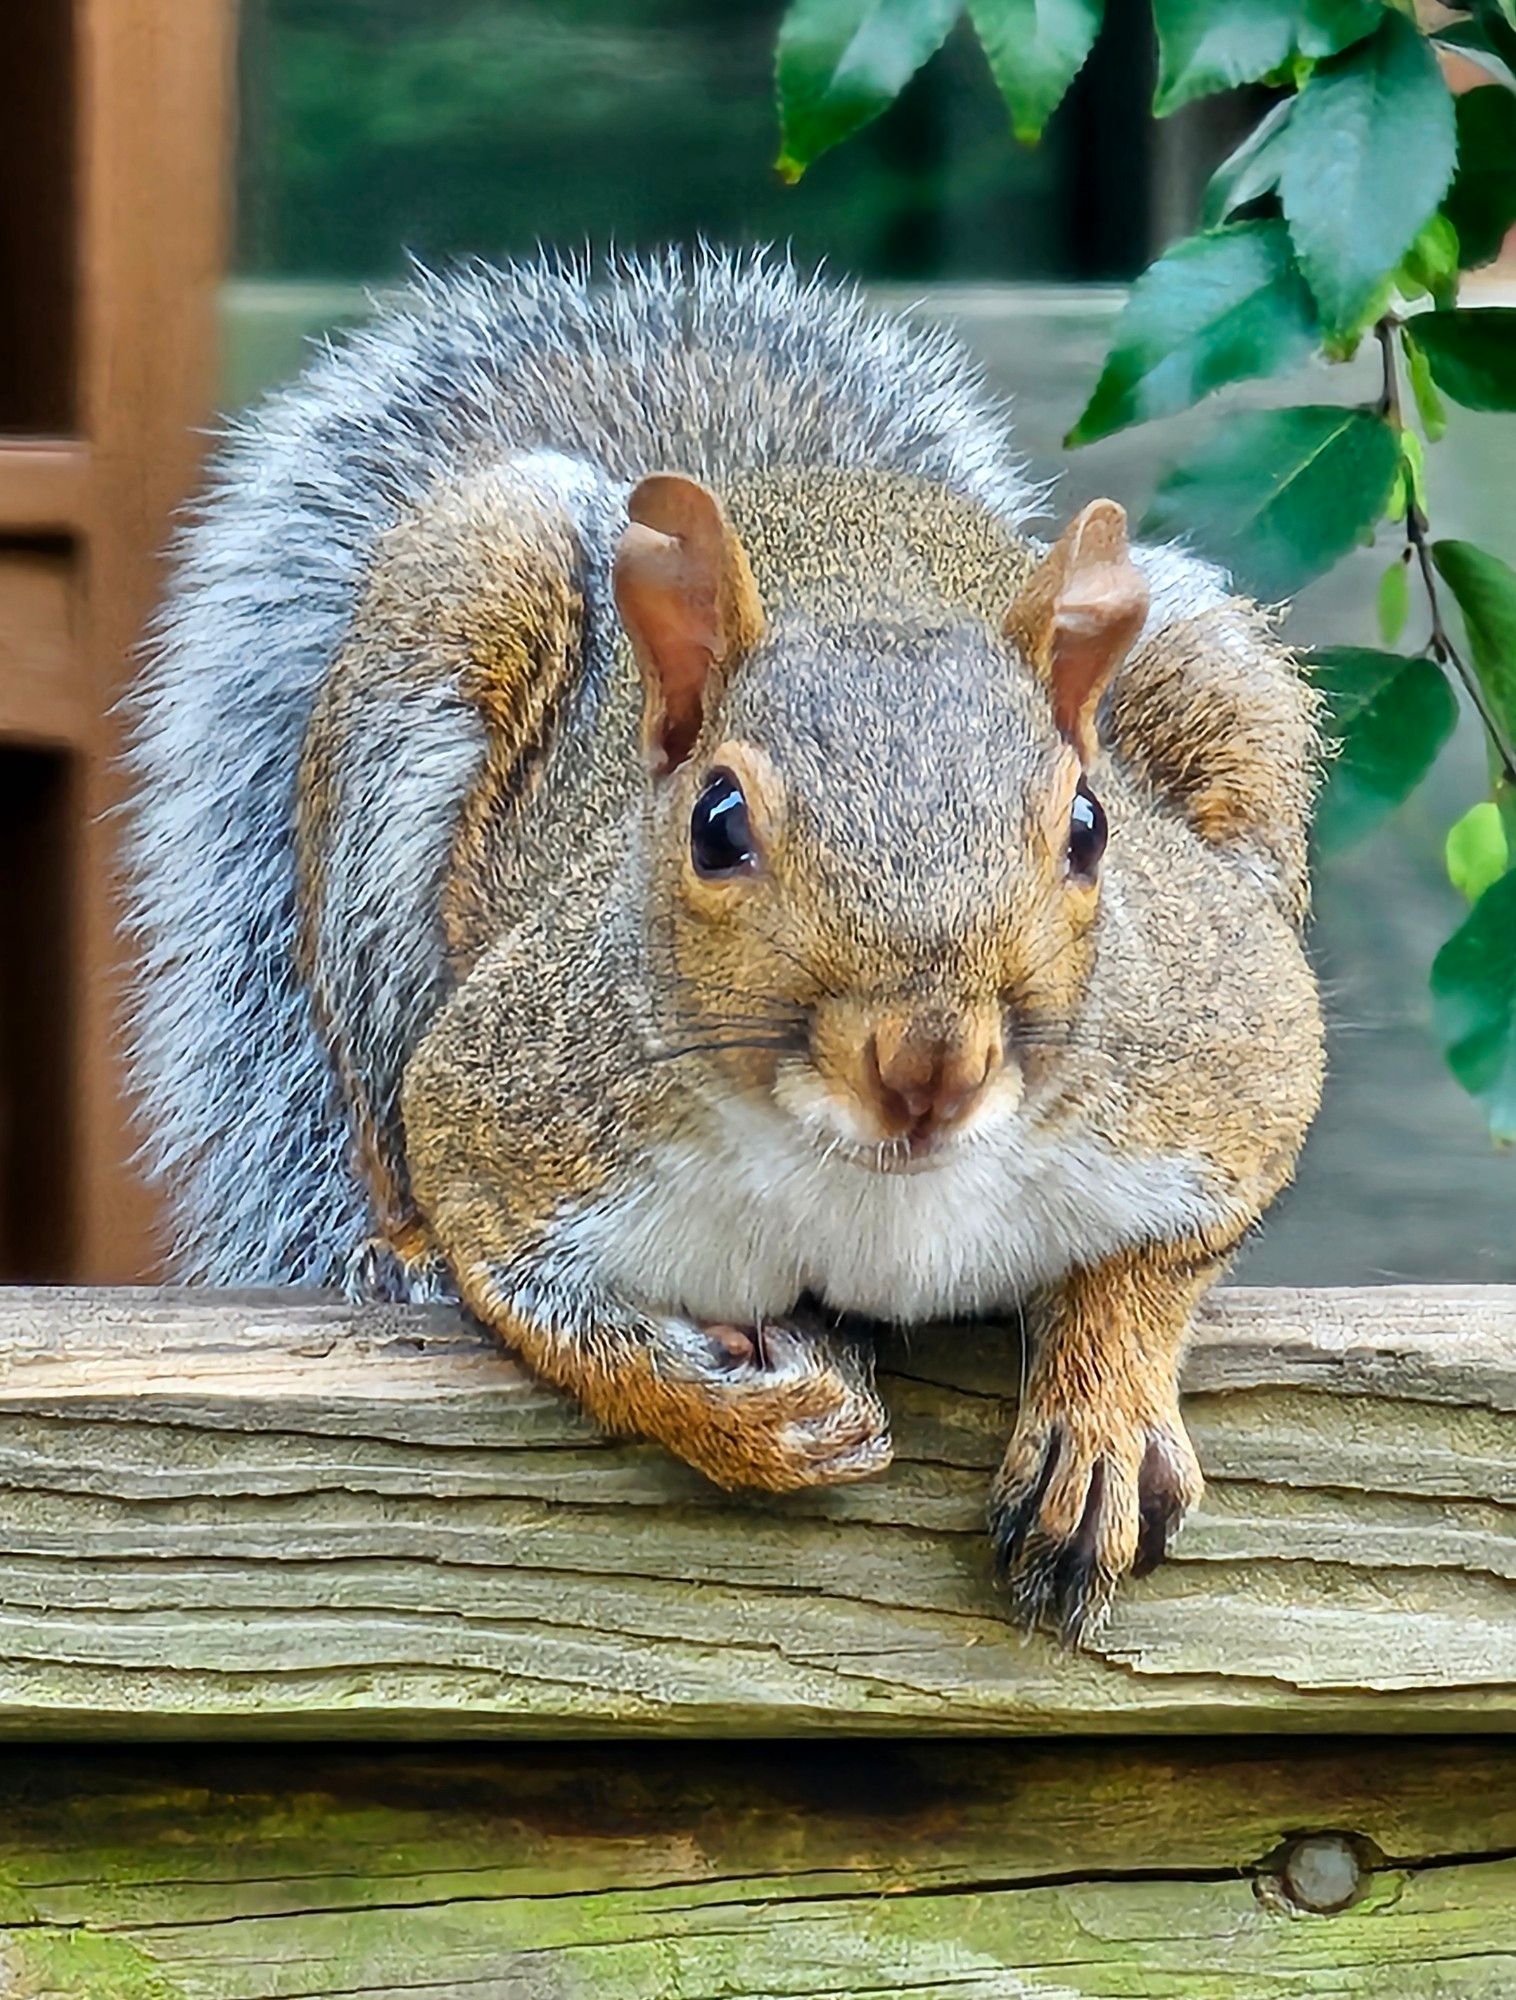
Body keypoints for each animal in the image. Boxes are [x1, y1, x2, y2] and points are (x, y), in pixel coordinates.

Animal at [124, 246, 1328, 1640]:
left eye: (1088, 825)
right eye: (717, 825)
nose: (927, 1061)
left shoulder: (1224, 1055)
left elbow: (1169, 1248)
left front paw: (1101, 1414)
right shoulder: (513, 1113)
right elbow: (544, 1309)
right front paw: (750, 1422)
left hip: (1220, 692)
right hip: (441, 651)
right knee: (380, 1100)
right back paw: (402, 1252)